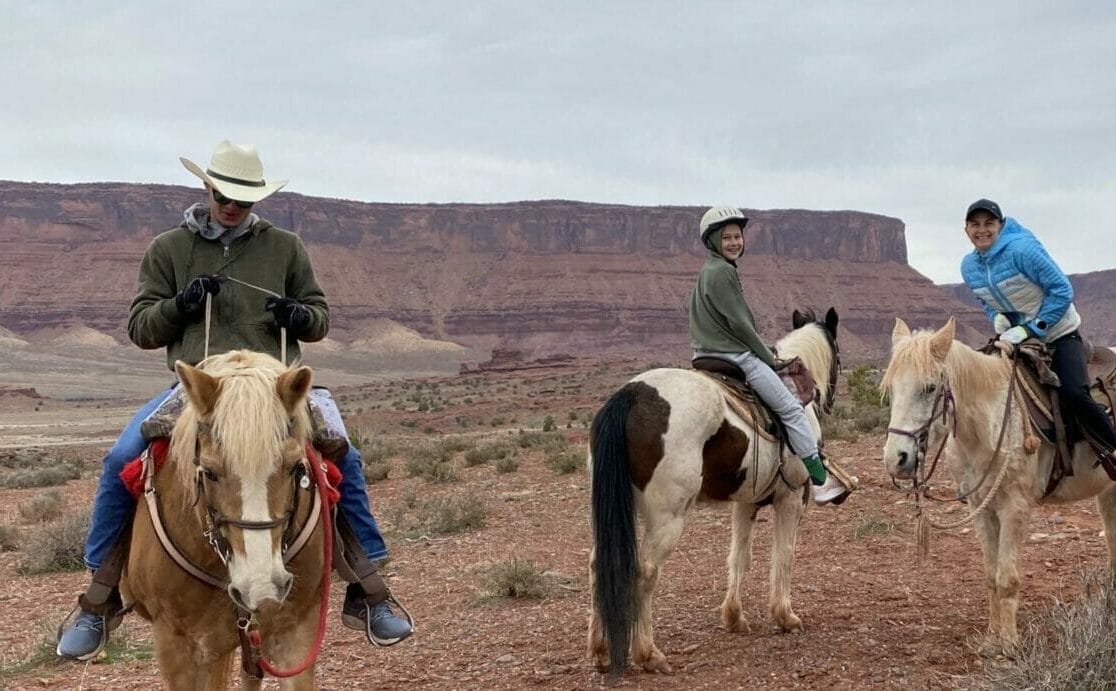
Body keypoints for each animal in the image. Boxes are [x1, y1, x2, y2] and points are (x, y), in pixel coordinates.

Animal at [584, 308, 839, 674]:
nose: (828, 400)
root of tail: (631, 395)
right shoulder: (791, 498)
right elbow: (784, 554)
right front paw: (785, 616)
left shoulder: (746, 502)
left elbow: (739, 556)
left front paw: (734, 618)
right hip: (667, 518)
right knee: (645, 570)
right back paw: (648, 654)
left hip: (615, 509)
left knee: (597, 564)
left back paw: (601, 651)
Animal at [879, 319, 1116, 656]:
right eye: (890, 389)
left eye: (929, 388)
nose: (896, 460)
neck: (987, 427)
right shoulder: (981, 507)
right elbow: (991, 576)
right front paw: (992, 640)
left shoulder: (1015, 507)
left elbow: (1008, 578)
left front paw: (1010, 644)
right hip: (1109, 492)